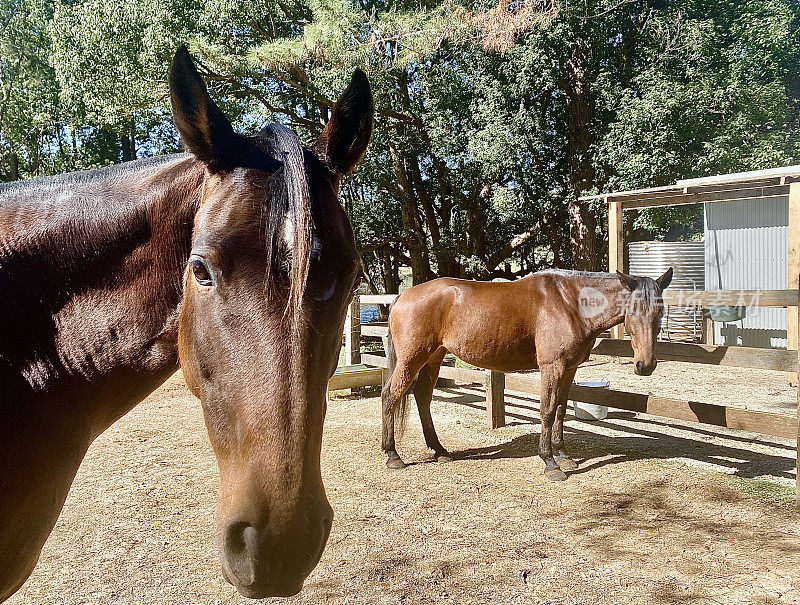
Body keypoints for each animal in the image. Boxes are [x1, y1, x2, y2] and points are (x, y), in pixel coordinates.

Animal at [384, 268, 672, 482]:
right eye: (632, 311)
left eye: (660, 312)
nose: (645, 365)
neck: (569, 302)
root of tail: (403, 296)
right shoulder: (552, 367)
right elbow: (546, 411)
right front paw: (550, 463)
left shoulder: (569, 368)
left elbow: (560, 410)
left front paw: (564, 455)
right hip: (412, 358)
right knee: (390, 396)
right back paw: (392, 455)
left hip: (433, 358)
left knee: (422, 397)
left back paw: (439, 450)